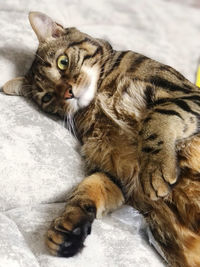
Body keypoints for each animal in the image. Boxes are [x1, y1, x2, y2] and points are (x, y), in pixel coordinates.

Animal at [3, 11, 200, 267]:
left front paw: (156, 168)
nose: (68, 92)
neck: (100, 96)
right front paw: (69, 226)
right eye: (47, 97)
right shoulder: (117, 173)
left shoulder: (186, 95)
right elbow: (89, 188)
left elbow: (159, 116)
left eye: (63, 62)